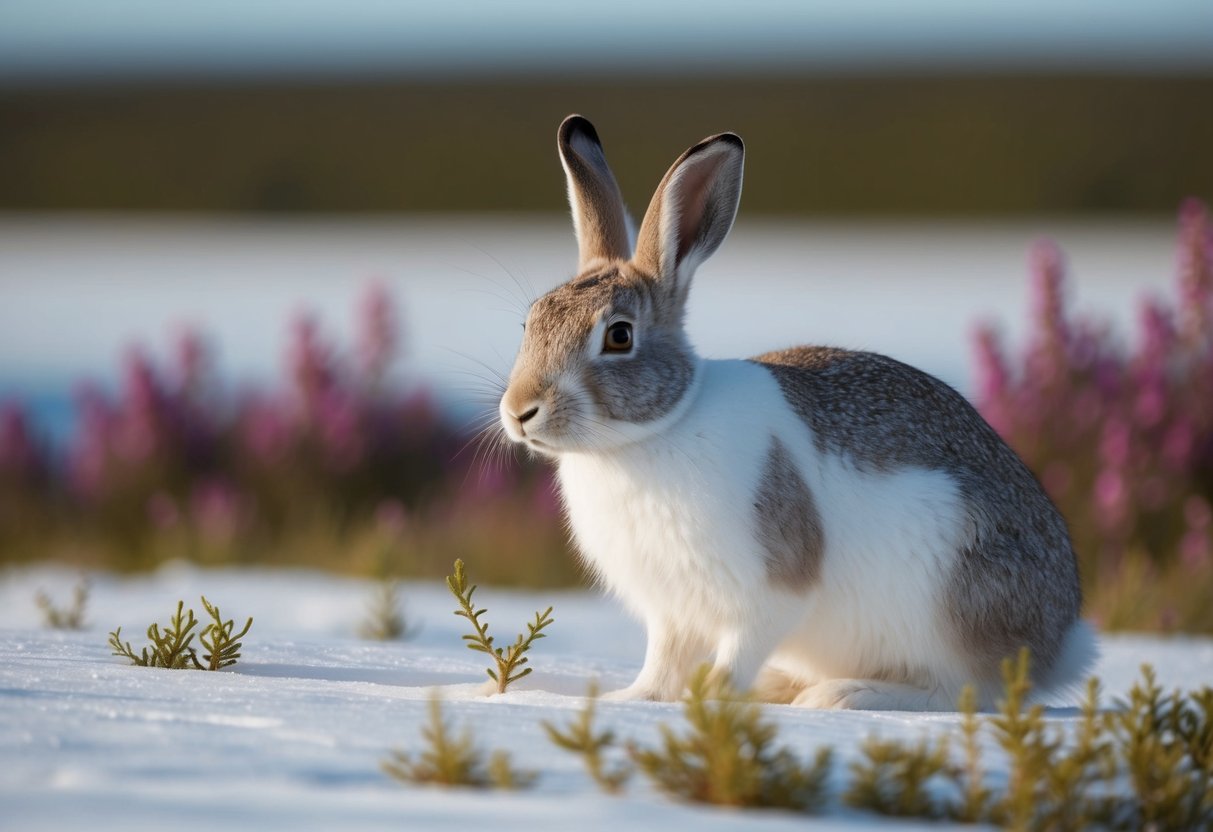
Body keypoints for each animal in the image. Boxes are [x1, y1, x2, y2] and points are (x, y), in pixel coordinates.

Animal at [498, 114, 1096, 710]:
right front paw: (632, 700)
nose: (520, 411)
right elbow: (662, 664)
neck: (649, 435)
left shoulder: (769, 590)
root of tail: (1061, 641)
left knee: (966, 689)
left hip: (953, 593)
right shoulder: (672, 612)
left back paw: (843, 694)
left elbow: (739, 651)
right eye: (531, 322)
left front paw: (711, 698)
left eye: (619, 337)